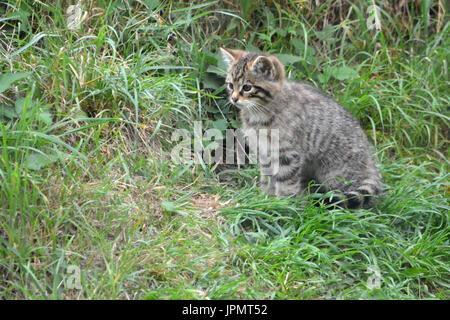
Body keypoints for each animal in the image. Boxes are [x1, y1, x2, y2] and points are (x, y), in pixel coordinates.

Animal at [220, 46, 382, 209]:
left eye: (247, 87)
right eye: (230, 85)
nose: (234, 98)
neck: (259, 115)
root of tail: (371, 162)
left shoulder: (288, 155)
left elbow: (286, 182)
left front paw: (283, 204)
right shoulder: (264, 152)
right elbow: (268, 179)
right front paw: (266, 199)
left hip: (336, 174)